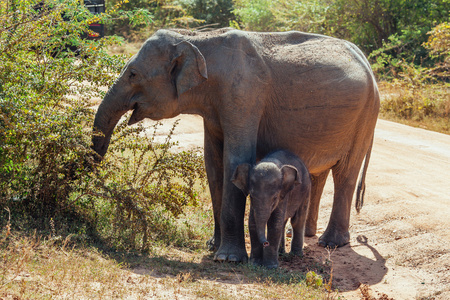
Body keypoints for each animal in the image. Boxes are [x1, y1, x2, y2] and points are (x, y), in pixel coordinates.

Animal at [91, 28, 380, 262]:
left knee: (345, 174)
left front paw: (228, 258)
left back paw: (331, 243)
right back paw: (303, 234)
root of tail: (365, 61)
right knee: (320, 173)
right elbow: (214, 166)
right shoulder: (215, 108)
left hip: (365, 117)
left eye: (133, 74)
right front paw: (213, 247)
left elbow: (235, 158)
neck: (197, 39)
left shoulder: (243, 95)